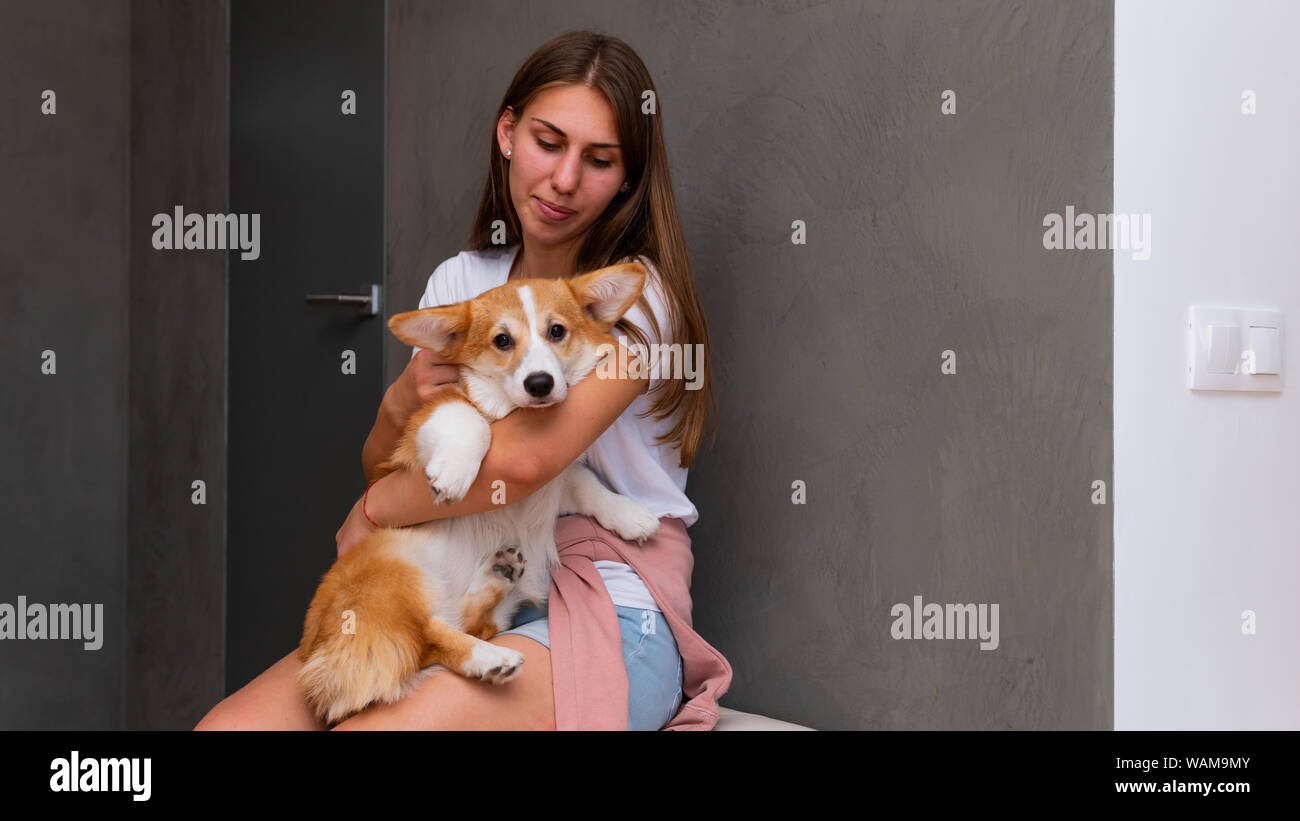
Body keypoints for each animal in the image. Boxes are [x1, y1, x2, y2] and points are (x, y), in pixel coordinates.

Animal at [295, 261, 660, 722]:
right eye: (502, 340)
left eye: (557, 331)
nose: (539, 383)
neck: (515, 411)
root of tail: (316, 653)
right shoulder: (424, 428)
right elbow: (469, 420)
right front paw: (454, 473)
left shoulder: (556, 479)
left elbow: (587, 485)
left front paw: (631, 516)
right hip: (390, 571)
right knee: (428, 636)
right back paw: (488, 658)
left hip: (482, 611)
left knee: (457, 625)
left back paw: (495, 580)